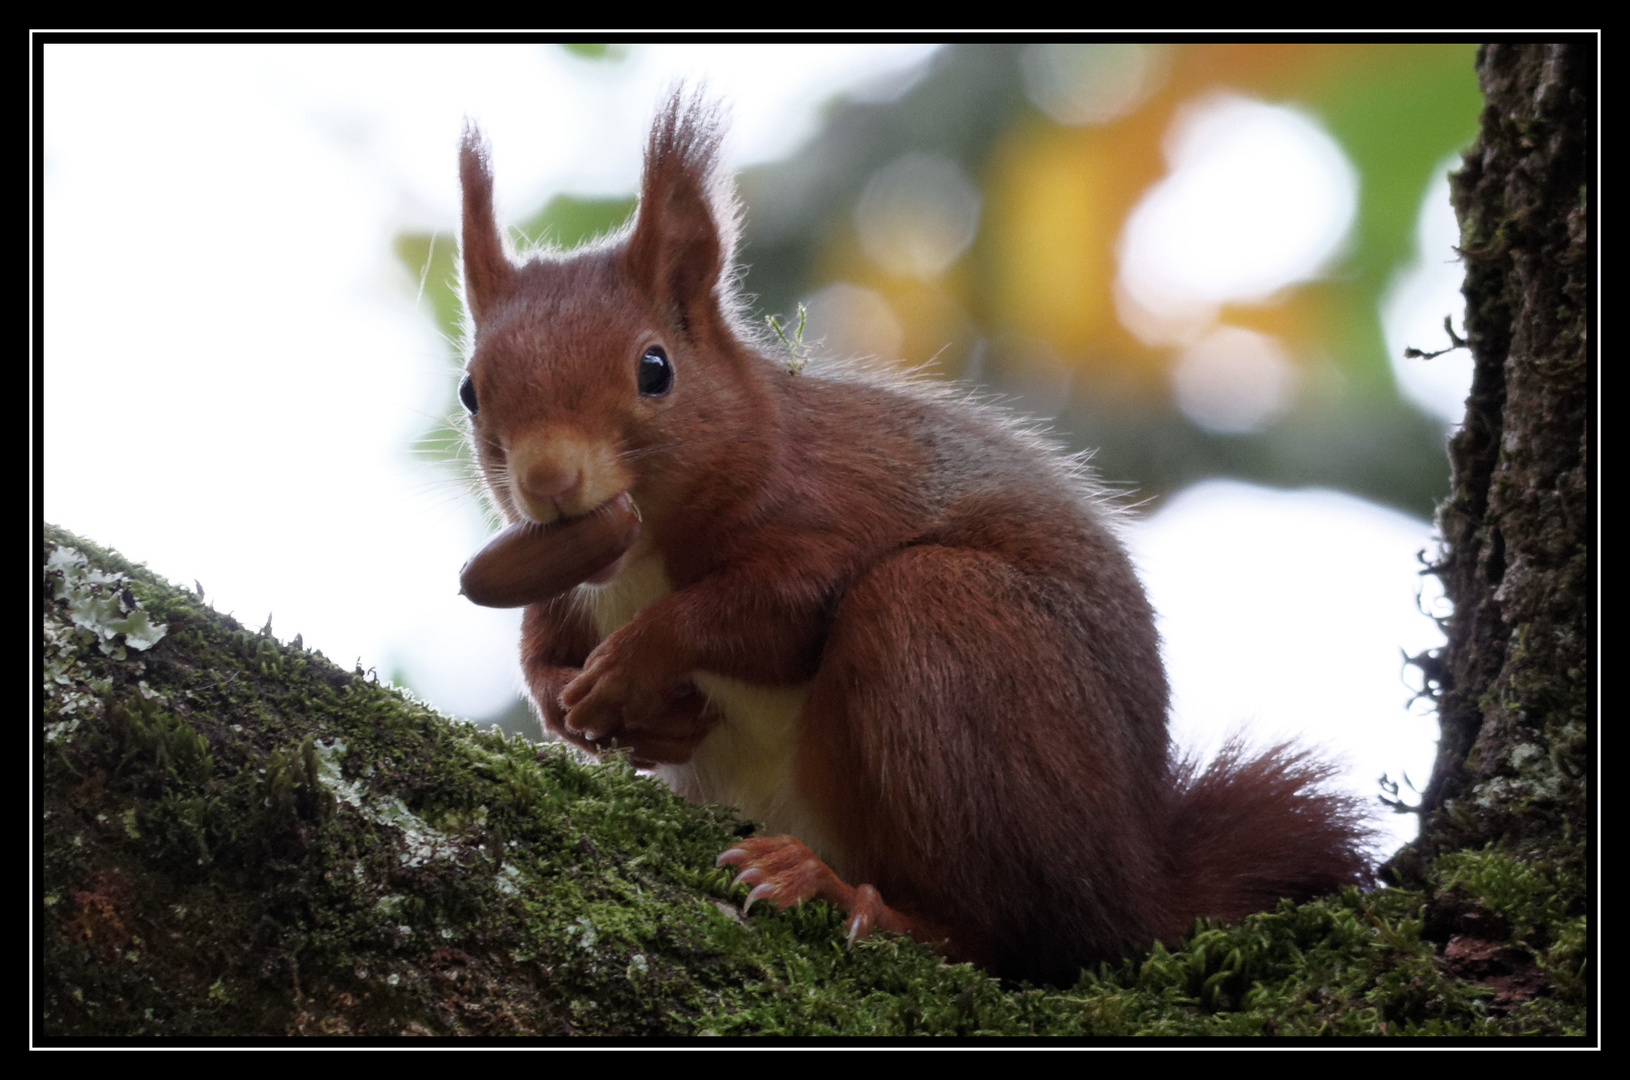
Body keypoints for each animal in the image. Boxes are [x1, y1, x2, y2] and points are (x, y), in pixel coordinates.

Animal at [453, 94, 1369, 990]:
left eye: (655, 369)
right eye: (469, 390)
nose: (547, 479)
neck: (637, 559)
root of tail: (1137, 883)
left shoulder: (833, 501)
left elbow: (774, 610)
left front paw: (636, 660)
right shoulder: (560, 581)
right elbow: (541, 657)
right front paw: (582, 709)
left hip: (948, 633)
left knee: (1005, 935)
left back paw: (839, 893)